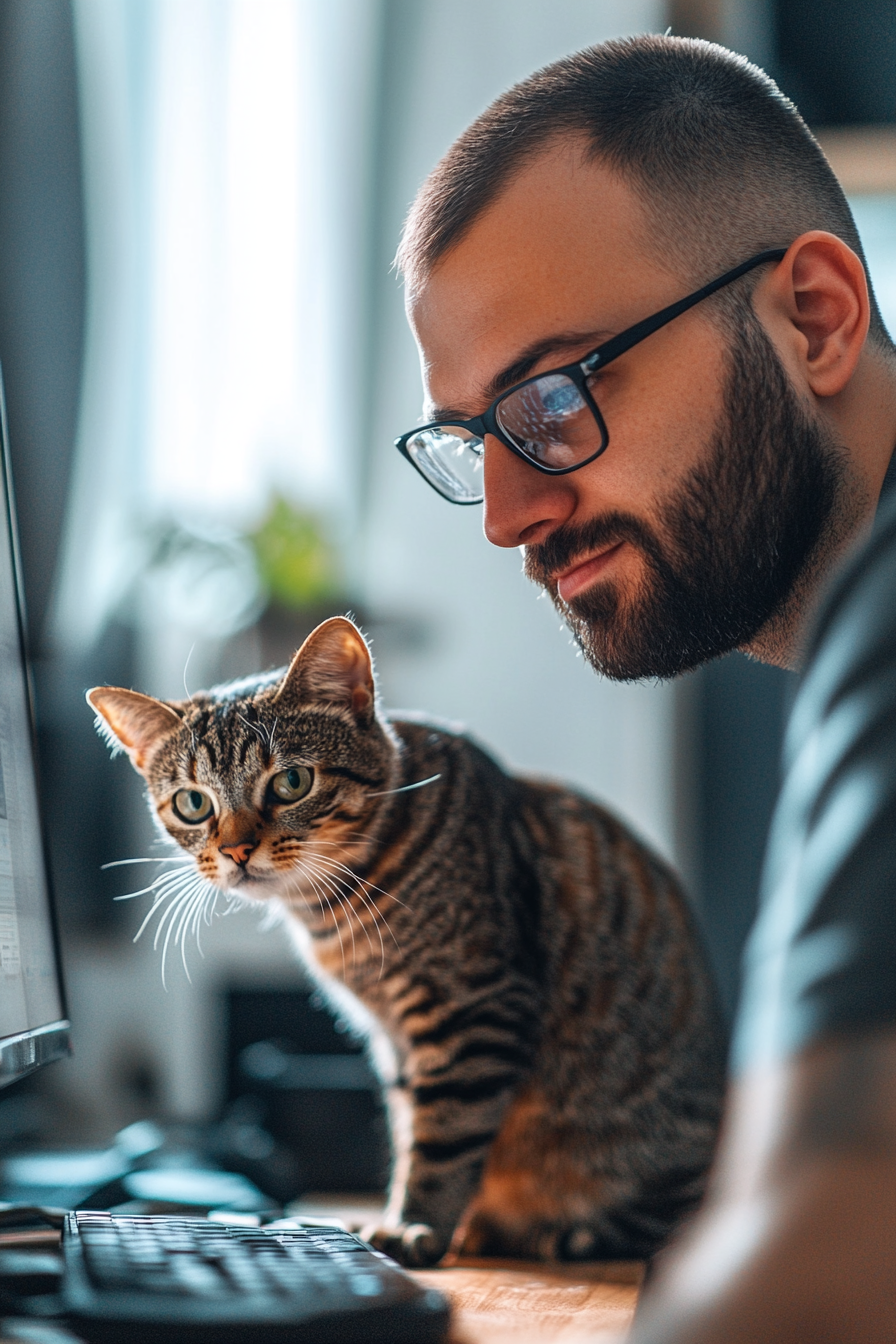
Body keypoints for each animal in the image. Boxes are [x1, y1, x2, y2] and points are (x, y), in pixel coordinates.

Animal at [85, 615, 730, 1263]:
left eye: (291, 781)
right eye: (193, 803)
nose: (237, 849)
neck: (331, 913)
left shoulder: (472, 1009)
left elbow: (444, 1136)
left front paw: (414, 1226)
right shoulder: (393, 1042)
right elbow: (406, 1125)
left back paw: (562, 1233)